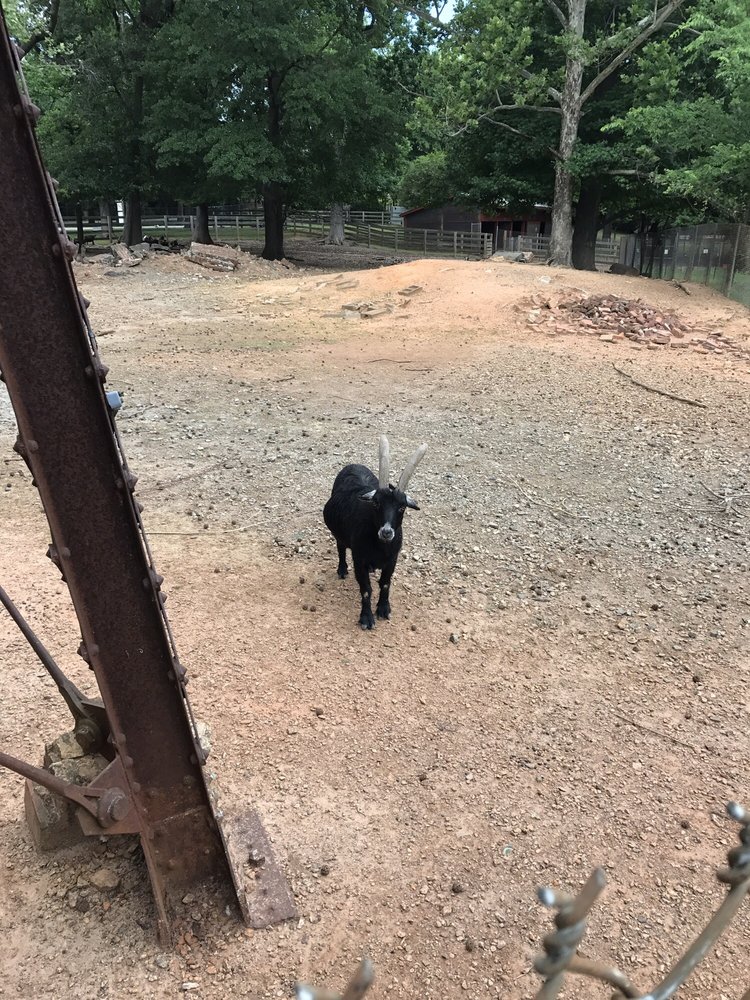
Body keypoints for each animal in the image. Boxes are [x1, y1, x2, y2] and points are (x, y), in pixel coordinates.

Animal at [323, 436, 427, 629]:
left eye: (402, 507)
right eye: (376, 503)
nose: (386, 532)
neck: (380, 548)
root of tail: (353, 465)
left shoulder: (392, 560)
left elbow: (385, 584)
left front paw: (384, 610)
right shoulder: (359, 560)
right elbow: (366, 589)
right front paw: (366, 618)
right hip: (339, 535)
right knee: (340, 547)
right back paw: (342, 569)